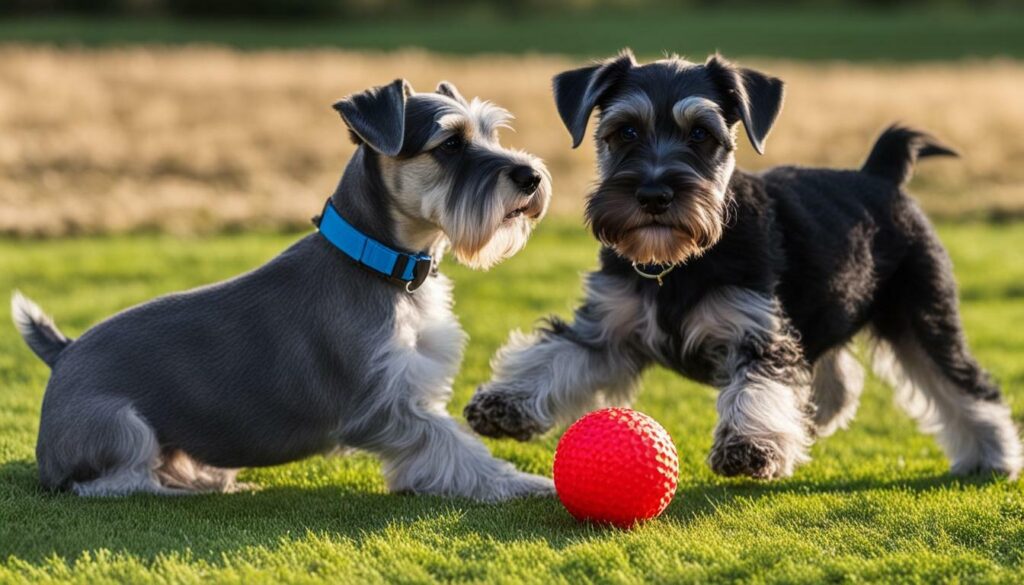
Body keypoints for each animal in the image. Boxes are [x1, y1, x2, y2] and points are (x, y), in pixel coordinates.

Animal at [12, 77, 557, 499]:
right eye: (448, 145)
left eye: (490, 132)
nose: (531, 177)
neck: (380, 262)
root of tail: (62, 353)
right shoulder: (382, 406)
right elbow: (455, 447)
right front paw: (520, 483)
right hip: (122, 429)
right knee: (112, 482)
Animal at [466, 50, 1024, 481]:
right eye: (624, 132)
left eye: (701, 135)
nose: (654, 195)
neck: (677, 264)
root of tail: (882, 173)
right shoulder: (605, 331)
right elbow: (553, 357)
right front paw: (503, 405)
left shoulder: (758, 336)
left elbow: (758, 390)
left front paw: (750, 447)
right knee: (837, 372)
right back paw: (818, 415)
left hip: (921, 314)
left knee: (965, 385)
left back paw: (993, 457)